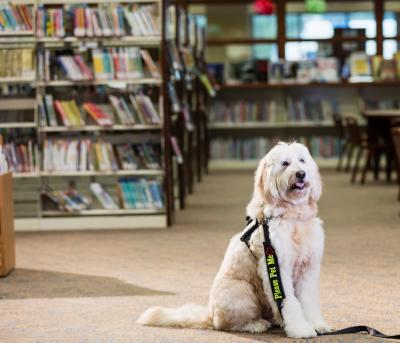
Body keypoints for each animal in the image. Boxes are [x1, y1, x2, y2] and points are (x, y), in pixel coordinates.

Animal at [138, 142, 332, 338]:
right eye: (285, 163)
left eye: (302, 160)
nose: (301, 174)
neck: (293, 218)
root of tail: (210, 314)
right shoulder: (277, 267)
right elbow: (288, 301)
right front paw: (300, 329)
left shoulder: (308, 267)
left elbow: (308, 300)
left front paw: (317, 324)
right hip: (243, 291)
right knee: (228, 324)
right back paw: (256, 324)